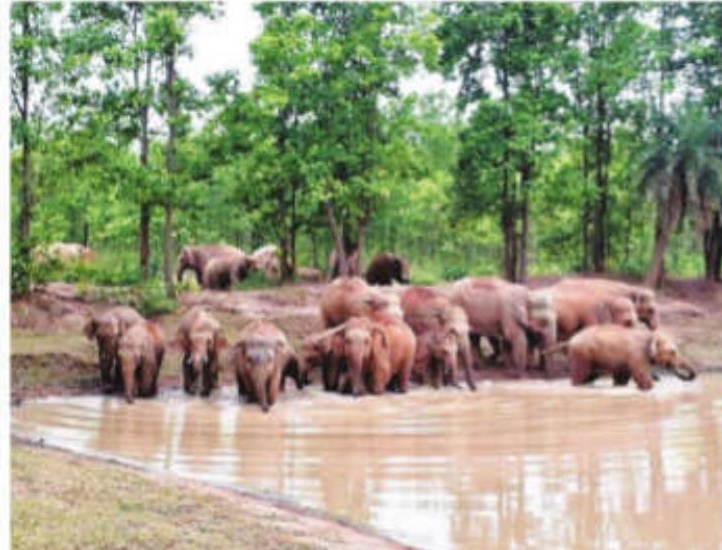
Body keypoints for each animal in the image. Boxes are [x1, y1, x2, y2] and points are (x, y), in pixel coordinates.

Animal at [548, 324, 696, 390]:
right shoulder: (637, 353)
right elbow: (643, 379)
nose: (658, 377)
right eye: (673, 352)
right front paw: (649, 386)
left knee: (589, 377)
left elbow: (622, 379)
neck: (651, 335)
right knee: (580, 376)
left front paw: (620, 385)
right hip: (582, 355)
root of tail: (570, 340)